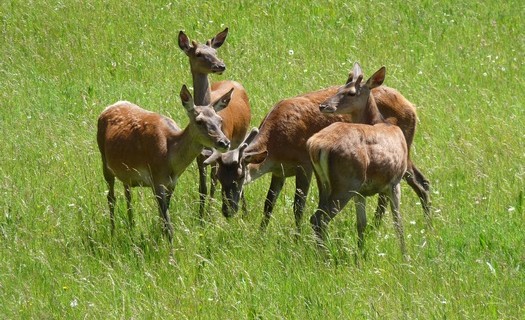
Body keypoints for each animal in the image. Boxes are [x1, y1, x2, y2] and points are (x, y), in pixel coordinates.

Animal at [177, 28, 251, 218]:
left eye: (215, 52)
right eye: (198, 53)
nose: (220, 65)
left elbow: (213, 184)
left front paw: (210, 215)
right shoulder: (199, 155)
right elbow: (202, 188)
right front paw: (201, 216)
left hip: (239, 139)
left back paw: (245, 211)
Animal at [213, 65, 430, 230]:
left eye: (239, 177)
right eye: (219, 178)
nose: (227, 211)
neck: (276, 146)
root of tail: (412, 107)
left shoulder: (304, 165)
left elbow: (298, 207)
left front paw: (296, 238)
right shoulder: (279, 171)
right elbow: (269, 204)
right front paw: (261, 234)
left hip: (403, 147)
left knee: (417, 182)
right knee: (417, 182)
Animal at [310, 63, 408, 256]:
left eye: (350, 92)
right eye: (339, 89)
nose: (323, 106)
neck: (382, 123)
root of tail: (317, 146)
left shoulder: (361, 192)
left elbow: (361, 224)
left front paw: (360, 256)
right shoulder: (395, 181)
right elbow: (398, 222)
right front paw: (405, 256)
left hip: (325, 184)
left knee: (316, 216)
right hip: (346, 182)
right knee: (319, 219)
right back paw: (323, 257)